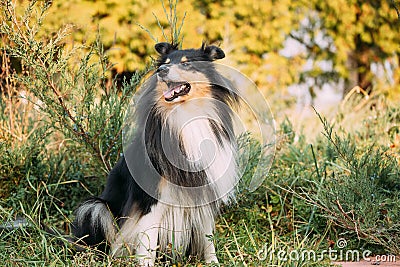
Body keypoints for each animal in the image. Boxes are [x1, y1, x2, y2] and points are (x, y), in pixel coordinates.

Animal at [70, 42, 239, 266]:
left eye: (187, 63)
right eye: (164, 63)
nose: (161, 70)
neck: (185, 116)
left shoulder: (205, 193)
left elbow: (207, 237)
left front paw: (213, 262)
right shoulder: (151, 202)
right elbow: (147, 244)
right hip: (95, 208)